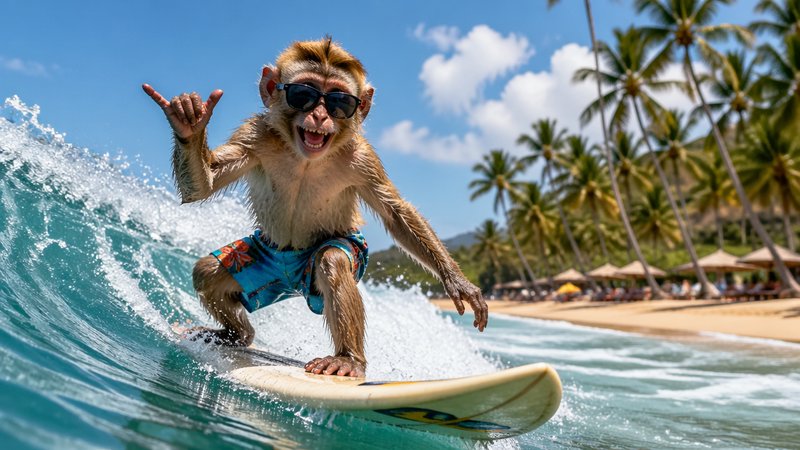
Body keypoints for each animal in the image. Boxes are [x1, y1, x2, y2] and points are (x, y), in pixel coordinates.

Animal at [143, 37, 487, 378]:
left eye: (339, 101)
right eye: (304, 94)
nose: (320, 115)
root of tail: (290, 282)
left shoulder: (362, 158)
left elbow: (395, 212)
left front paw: (456, 281)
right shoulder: (255, 134)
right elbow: (207, 184)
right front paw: (189, 124)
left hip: (331, 257)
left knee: (332, 260)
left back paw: (348, 359)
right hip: (256, 259)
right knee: (207, 272)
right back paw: (237, 336)